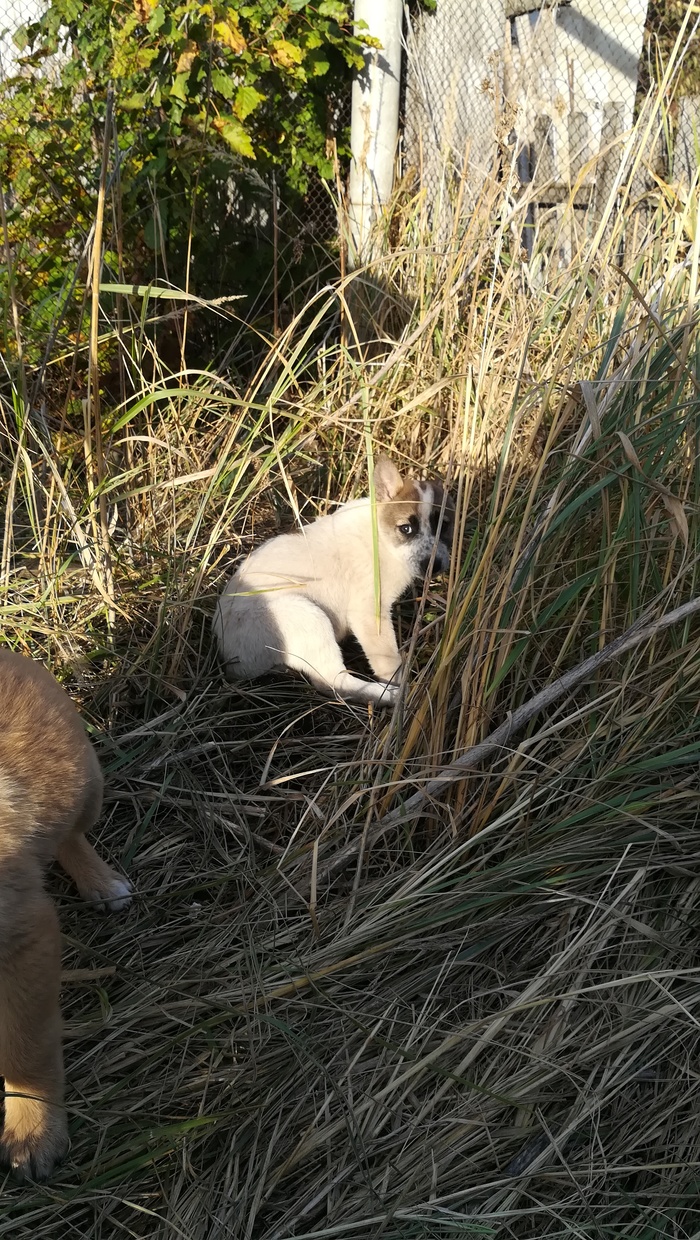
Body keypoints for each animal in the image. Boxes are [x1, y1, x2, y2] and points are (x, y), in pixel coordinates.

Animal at [213, 456, 453, 709]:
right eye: (406, 528)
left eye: (445, 526)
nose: (434, 565)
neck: (382, 537)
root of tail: (228, 657)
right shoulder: (369, 614)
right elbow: (388, 661)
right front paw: (398, 685)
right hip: (307, 617)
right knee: (333, 682)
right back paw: (390, 696)